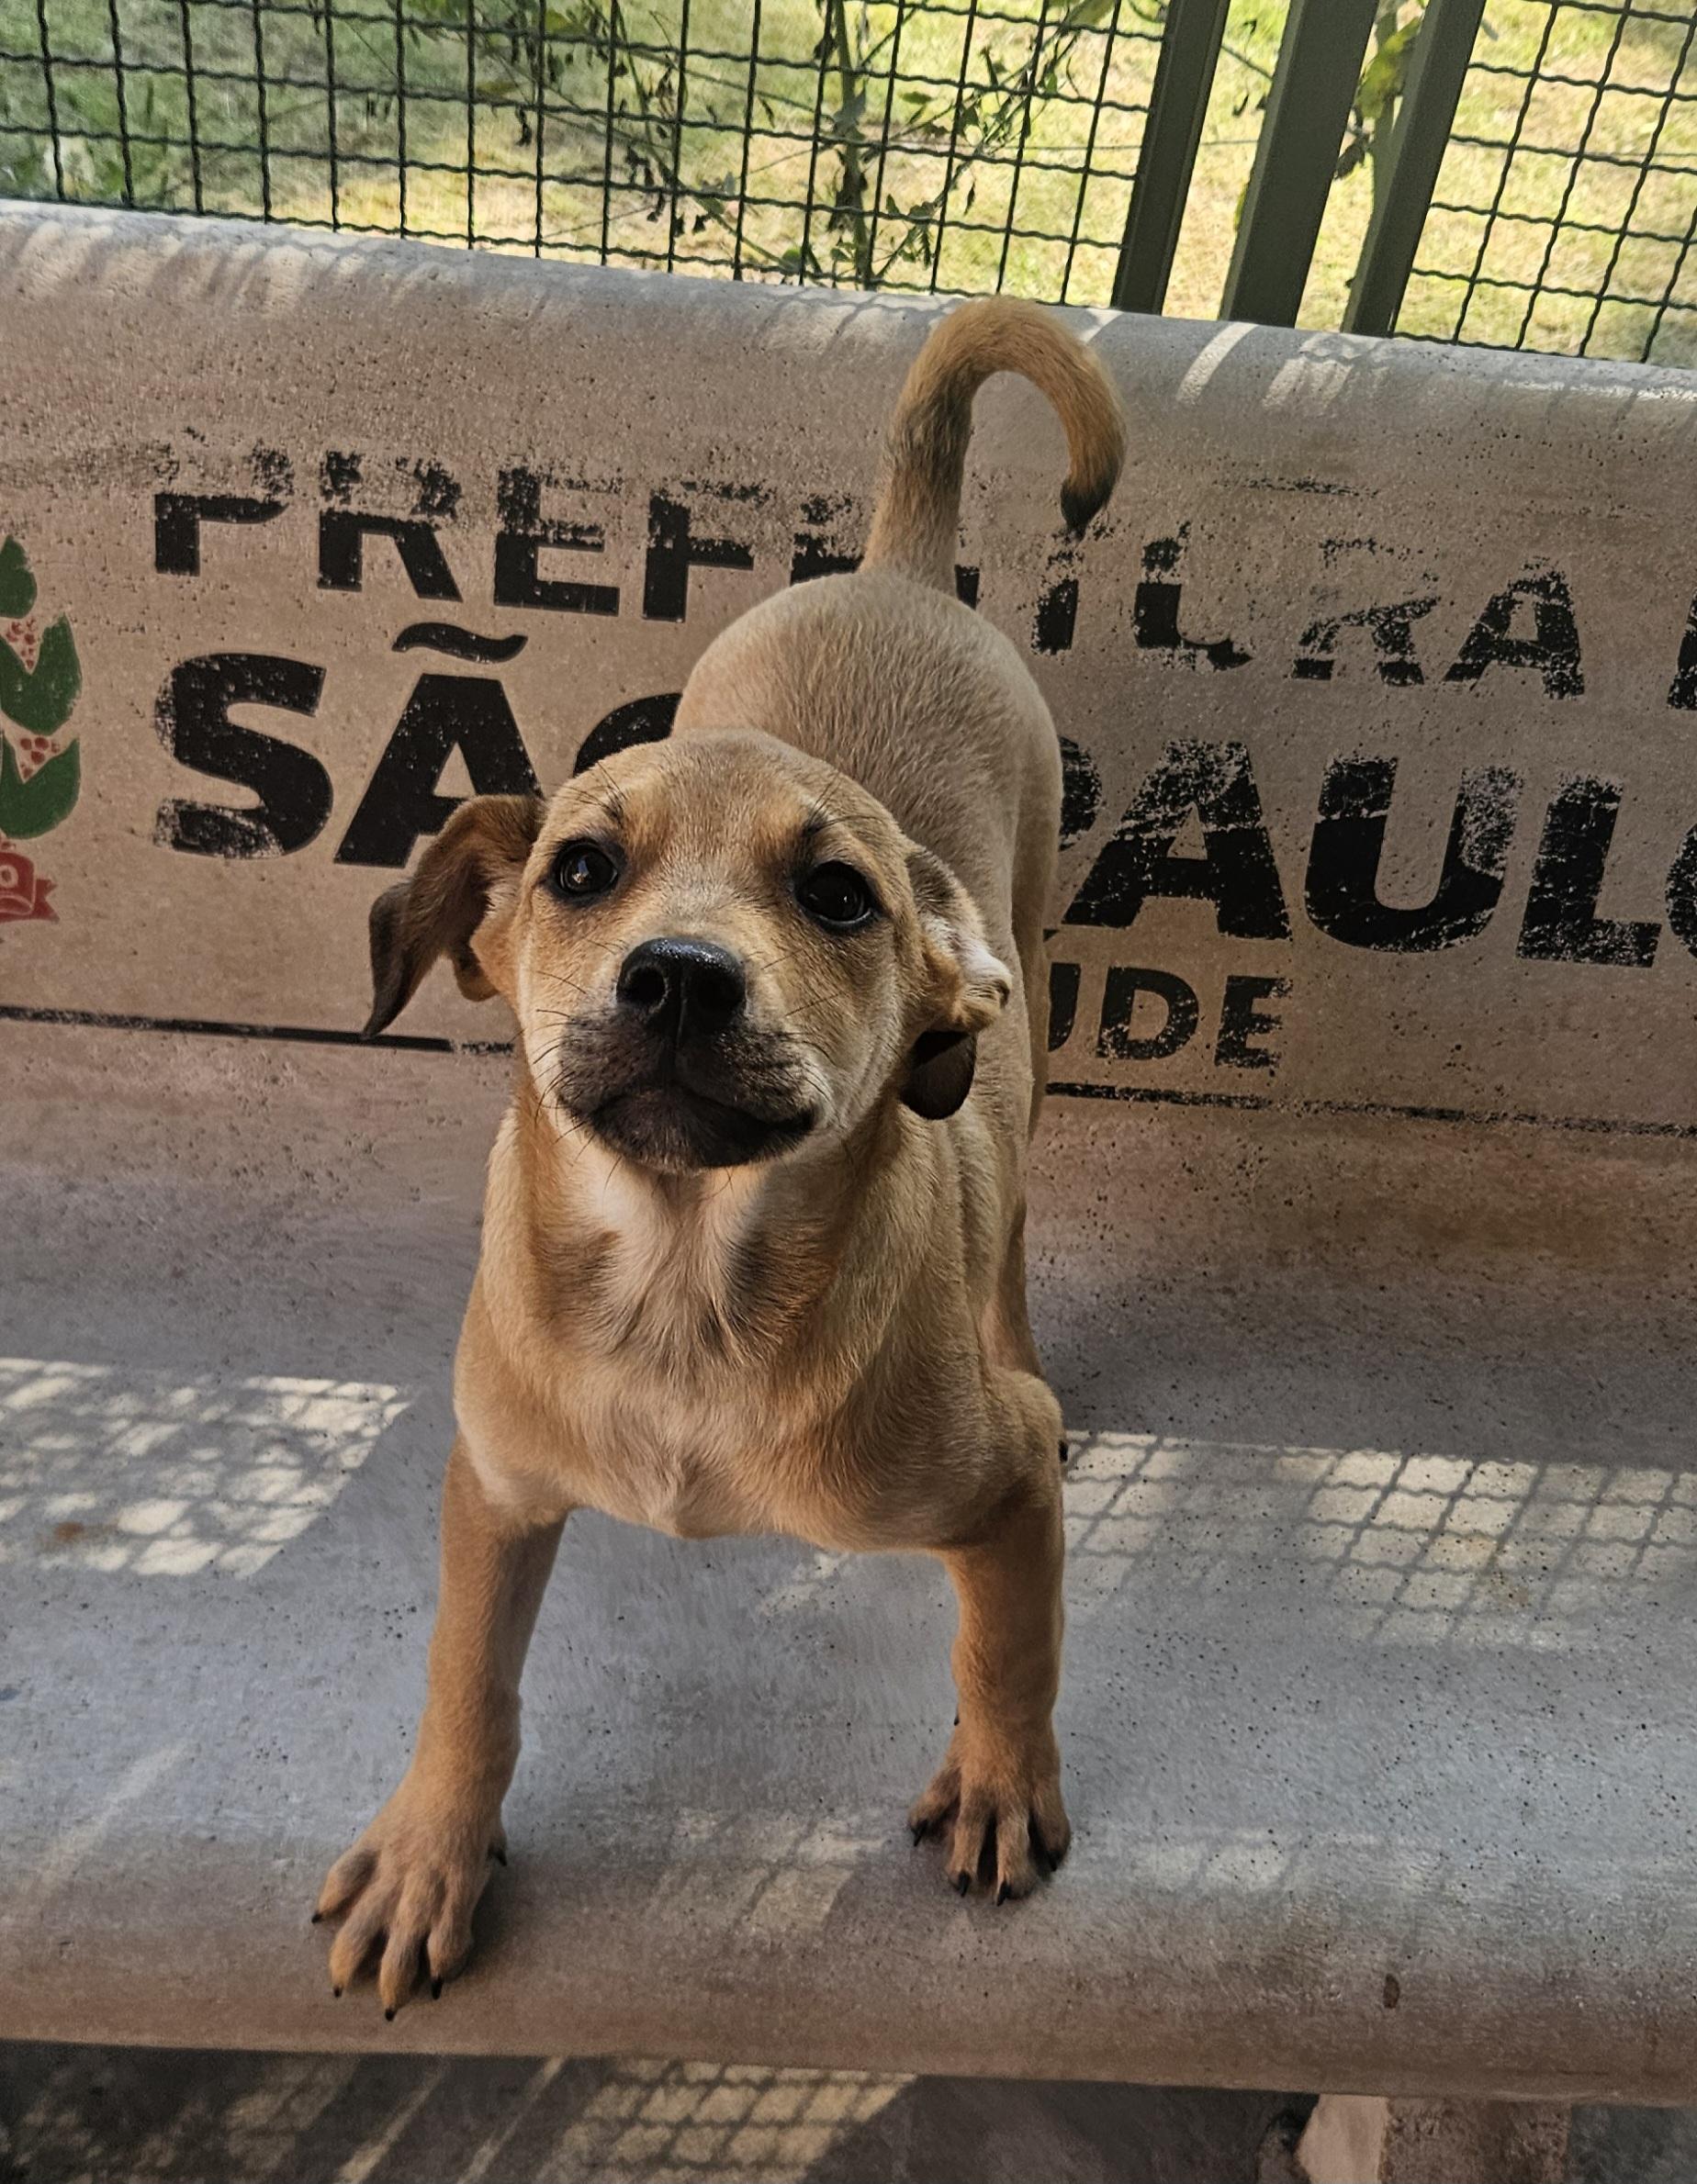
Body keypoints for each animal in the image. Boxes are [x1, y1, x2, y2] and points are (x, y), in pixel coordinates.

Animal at [314, 295, 1127, 2009]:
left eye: (838, 897)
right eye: (577, 869)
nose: (680, 976)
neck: (686, 1282)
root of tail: (898, 567)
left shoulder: (1001, 1478)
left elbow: (1007, 1637)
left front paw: (1002, 1776)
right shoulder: (494, 1488)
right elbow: (466, 1677)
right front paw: (429, 1849)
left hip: (1027, 964)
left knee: (1014, 1208)